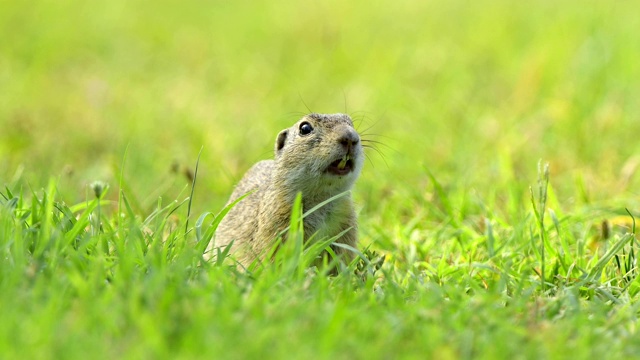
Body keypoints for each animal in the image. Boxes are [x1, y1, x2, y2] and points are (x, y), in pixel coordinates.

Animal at [212, 113, 362, 268]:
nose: (350, 137)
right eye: (305, 128)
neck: (321, 198)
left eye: (351, 123)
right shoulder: (277, 223)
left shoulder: (346, 224)